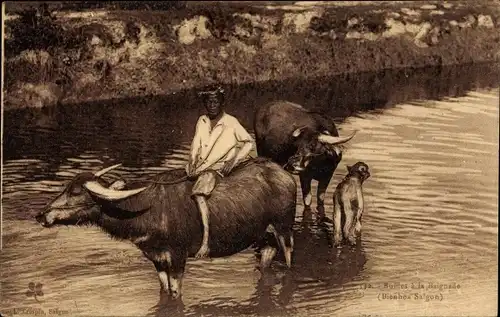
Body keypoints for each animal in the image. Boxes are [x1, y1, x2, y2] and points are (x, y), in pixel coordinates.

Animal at [38, 158, 300, 298]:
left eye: (75, 192)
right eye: (66, 187)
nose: (42, 214)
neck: (144, 208)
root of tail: (285, 175)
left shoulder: (177, 258)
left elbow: (175, 293)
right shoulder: (157, 259)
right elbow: (164, 290)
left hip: (284, 230)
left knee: (288, 261)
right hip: (264, 237)